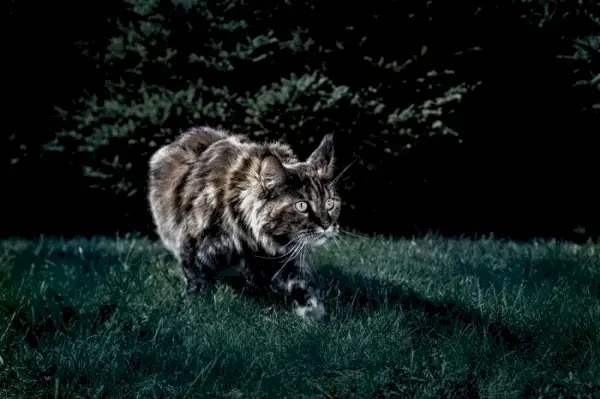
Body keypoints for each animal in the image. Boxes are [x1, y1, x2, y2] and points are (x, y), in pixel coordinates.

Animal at [148, 126, 340, 324]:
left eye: (330, 203)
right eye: (302, 206)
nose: (327, 225)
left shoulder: (280, 257)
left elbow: (301, 283)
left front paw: (313, 313)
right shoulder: (192, 246)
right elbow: (196, 280)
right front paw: (196, 308)